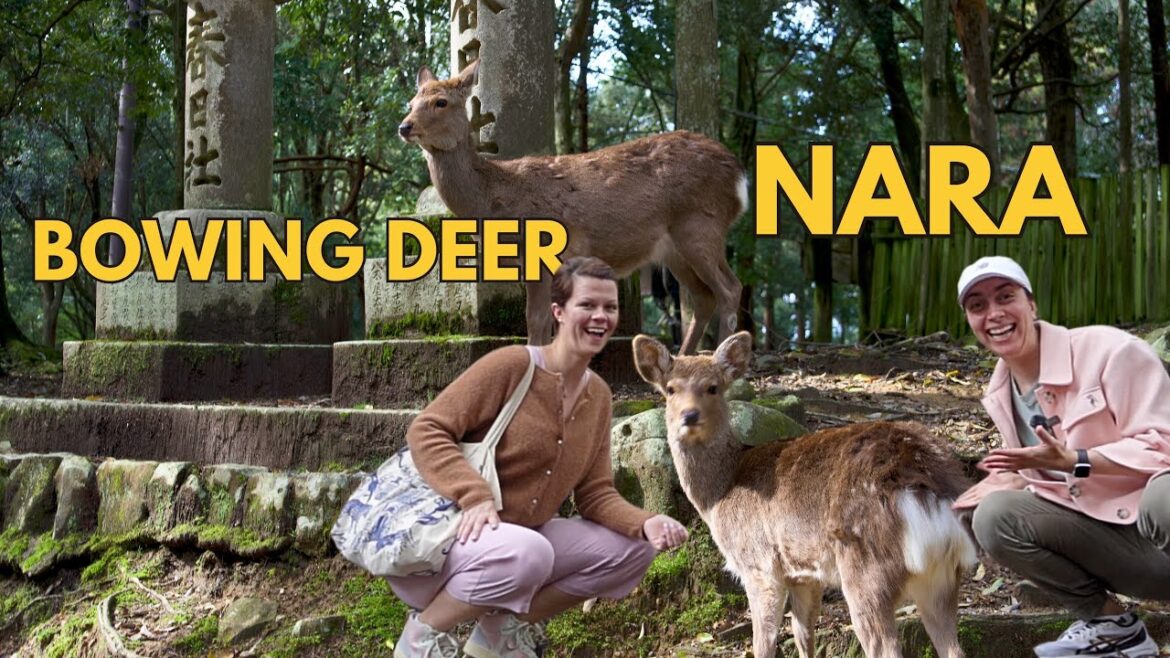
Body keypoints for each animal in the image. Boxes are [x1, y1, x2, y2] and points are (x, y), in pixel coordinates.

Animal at [398, 60, 745, 354]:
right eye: (411, 103)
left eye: (441, 102)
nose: (404, 126)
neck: (496, 198)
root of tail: (738, 178)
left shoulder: (543, 253)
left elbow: (536, 322)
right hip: (674, 249)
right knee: (704, 297)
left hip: (700, 225)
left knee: (730, 288)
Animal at [633, 330, 977, 658]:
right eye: (670, 389)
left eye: (713, 387)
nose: (689, 416)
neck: (721, 492)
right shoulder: (804, 574)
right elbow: (803, 635)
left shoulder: (759, 564)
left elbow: (763, 643)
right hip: (941, 577)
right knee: (954, 648)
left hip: (867, 568)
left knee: (885, 646)